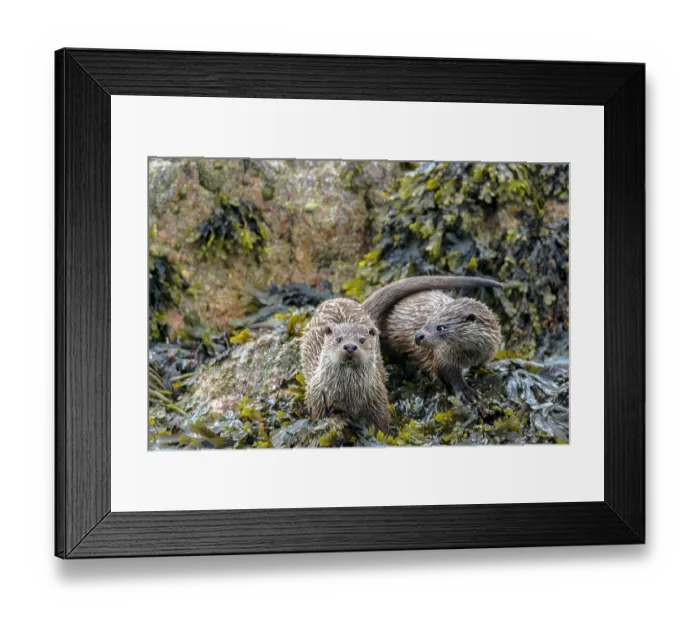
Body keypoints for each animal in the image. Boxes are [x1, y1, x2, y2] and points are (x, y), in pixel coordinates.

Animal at [301, 276, 501, 430]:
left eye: (440, 327)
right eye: (427, 321)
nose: (418, 335)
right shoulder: (443, 355)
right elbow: (448, 373)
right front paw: (467, 393)